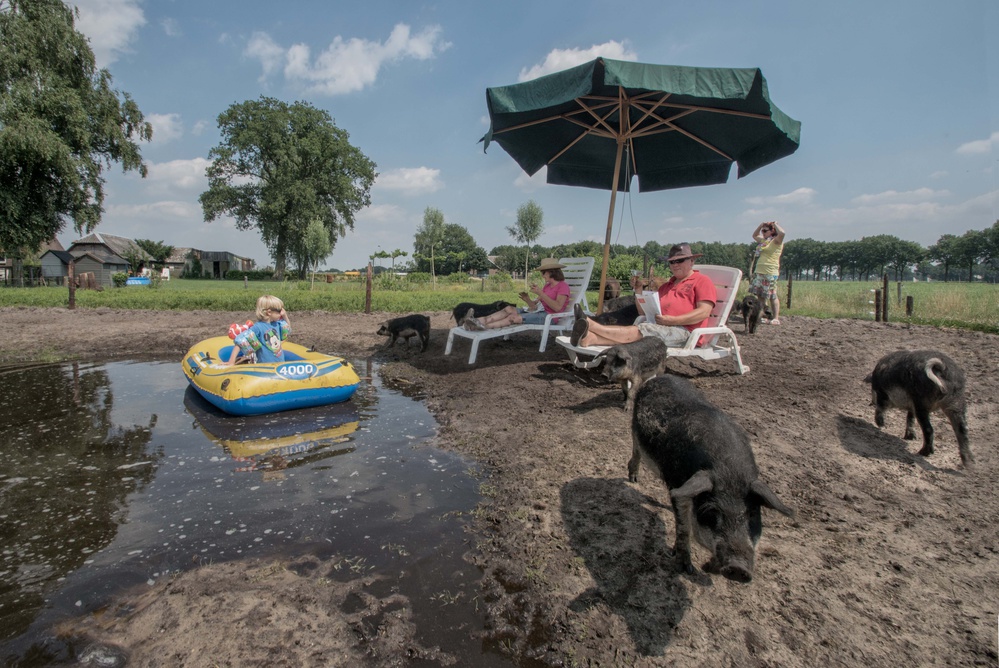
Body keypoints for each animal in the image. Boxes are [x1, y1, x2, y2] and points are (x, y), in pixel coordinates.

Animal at [628, 378, 792, 580]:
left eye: (752, 513)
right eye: (712, 511)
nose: (738, 568)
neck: (728, 470)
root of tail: (659, 378)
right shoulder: (678, 484)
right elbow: (684, 526)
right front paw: (685, 568)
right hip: (635, 431)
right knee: (636, 450)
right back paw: (633, 478)